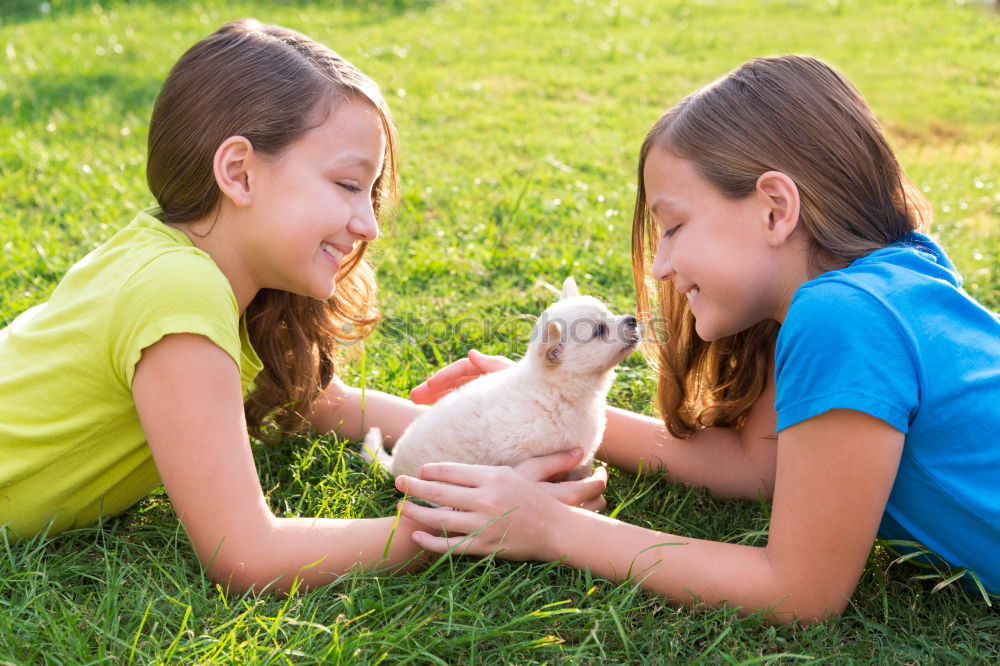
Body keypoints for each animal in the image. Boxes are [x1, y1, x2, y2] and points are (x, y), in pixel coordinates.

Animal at [362, 278, 640, 480]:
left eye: (610, 313)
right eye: (599, 331)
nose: (633, 319)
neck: (558, 392)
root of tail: (394, 464)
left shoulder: (582, 461)